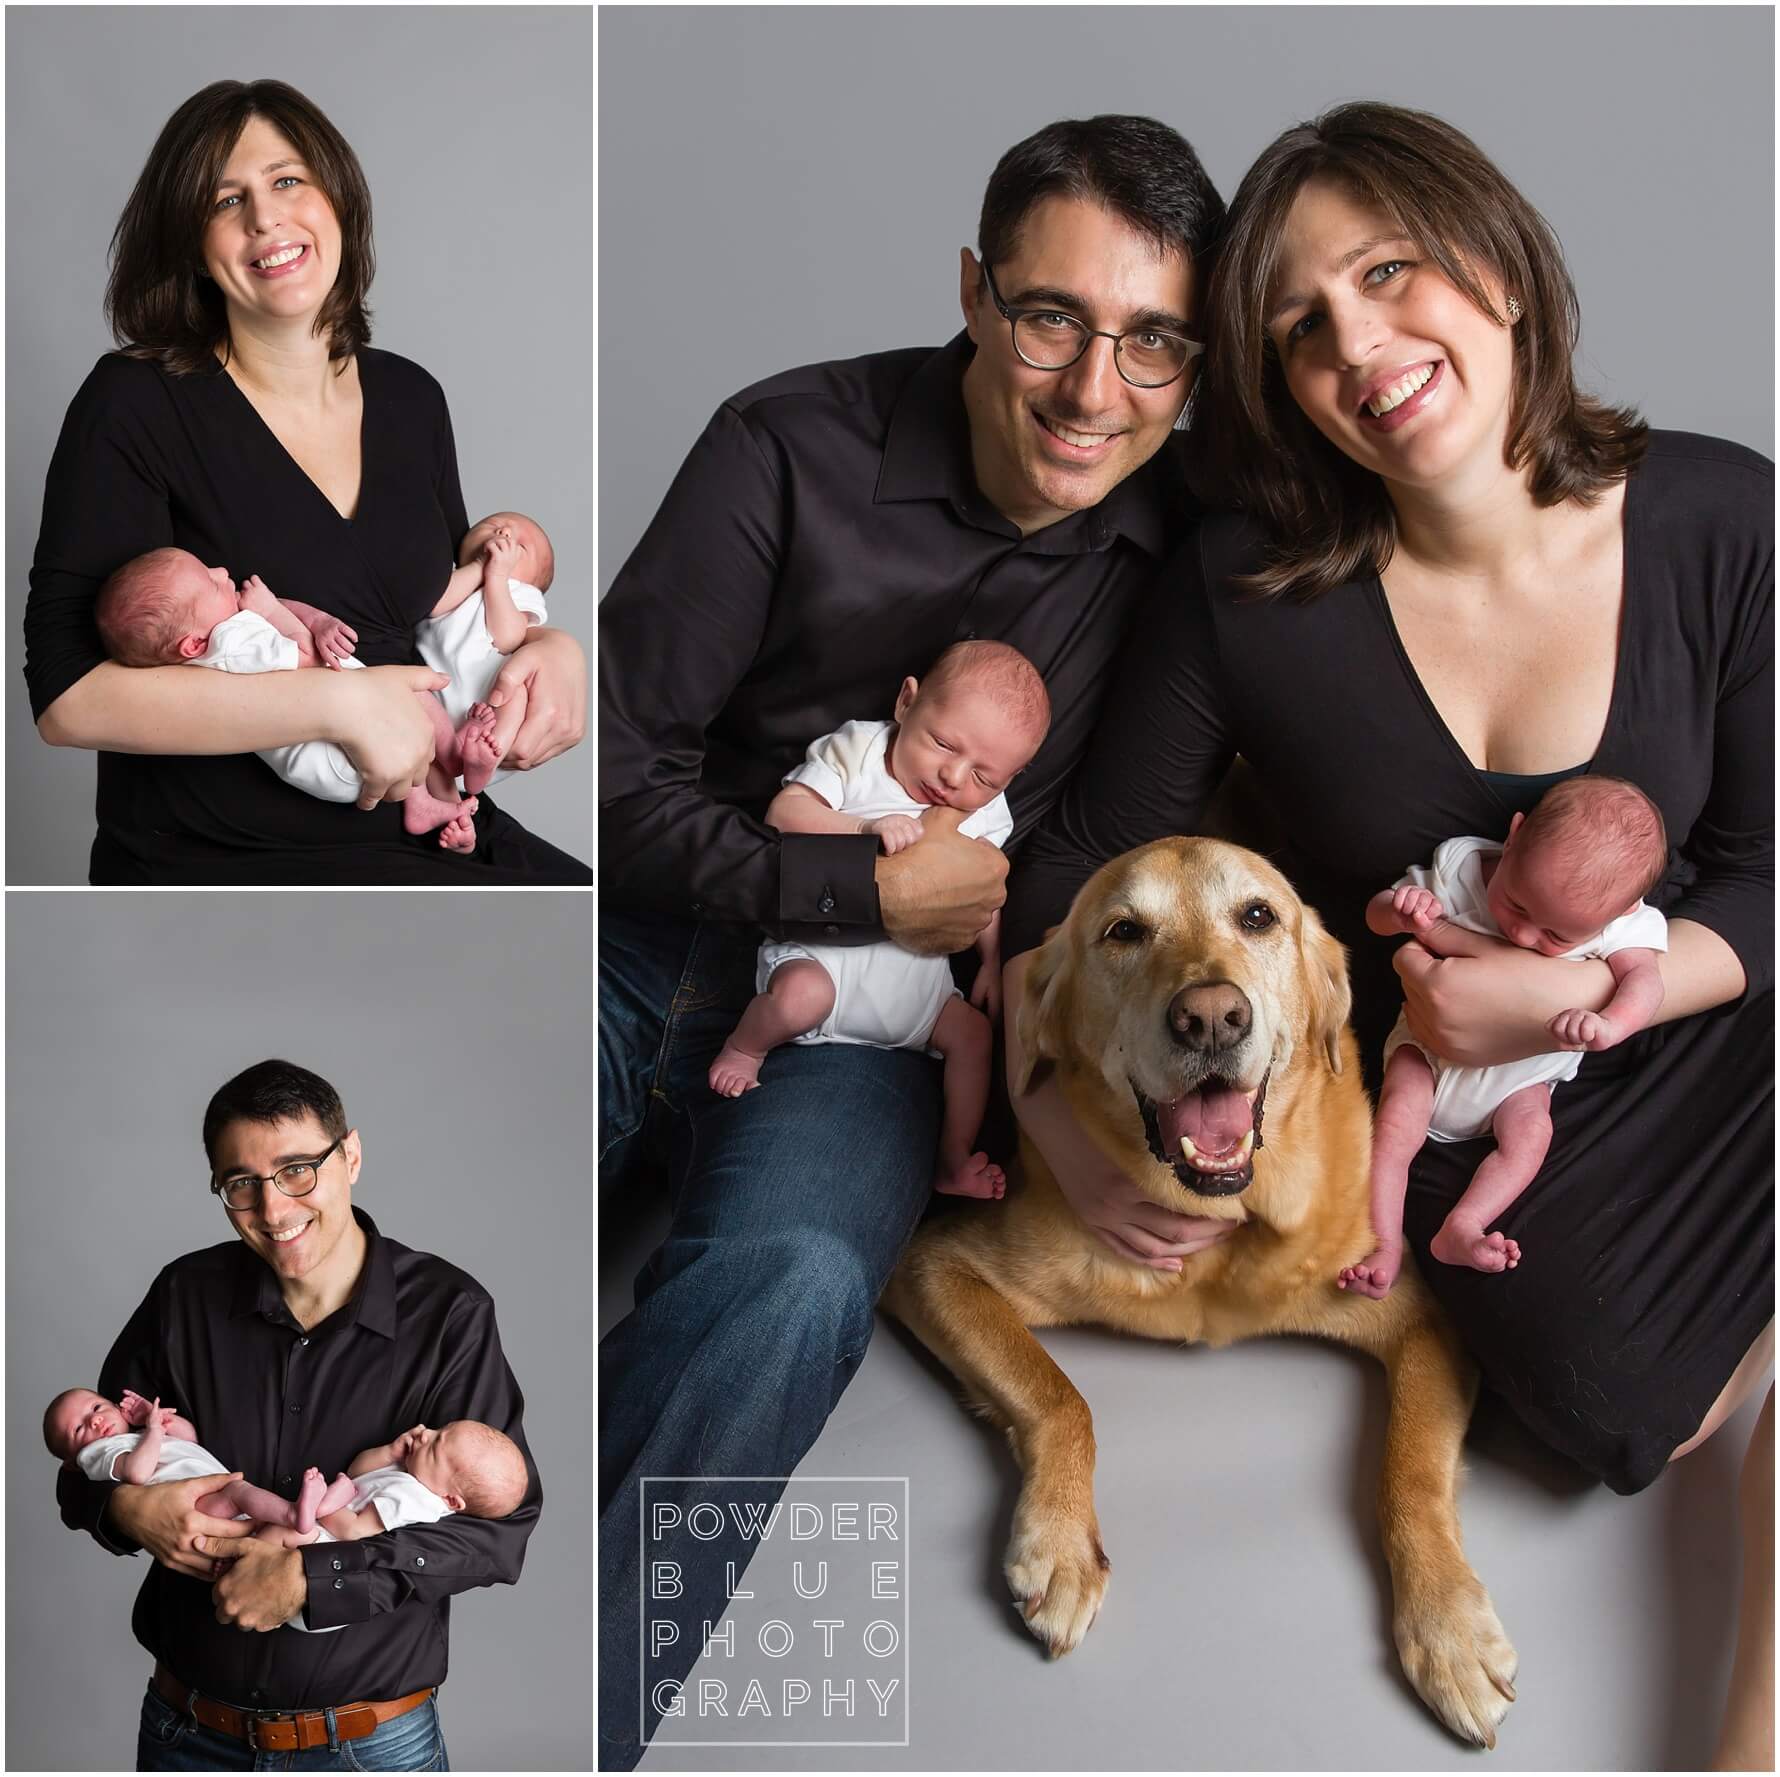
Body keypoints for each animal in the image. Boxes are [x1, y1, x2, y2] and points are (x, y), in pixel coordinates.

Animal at [882, 836, 1523, 1752]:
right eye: (1122, 930)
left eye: (1258, 915)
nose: (1211, 1017)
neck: (1221, 1226)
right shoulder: (933, 1264)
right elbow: (1059, 1396)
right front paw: (1062, 1544)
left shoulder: (1420, 1316)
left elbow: (1410, 1473)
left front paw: (1450, 1628)